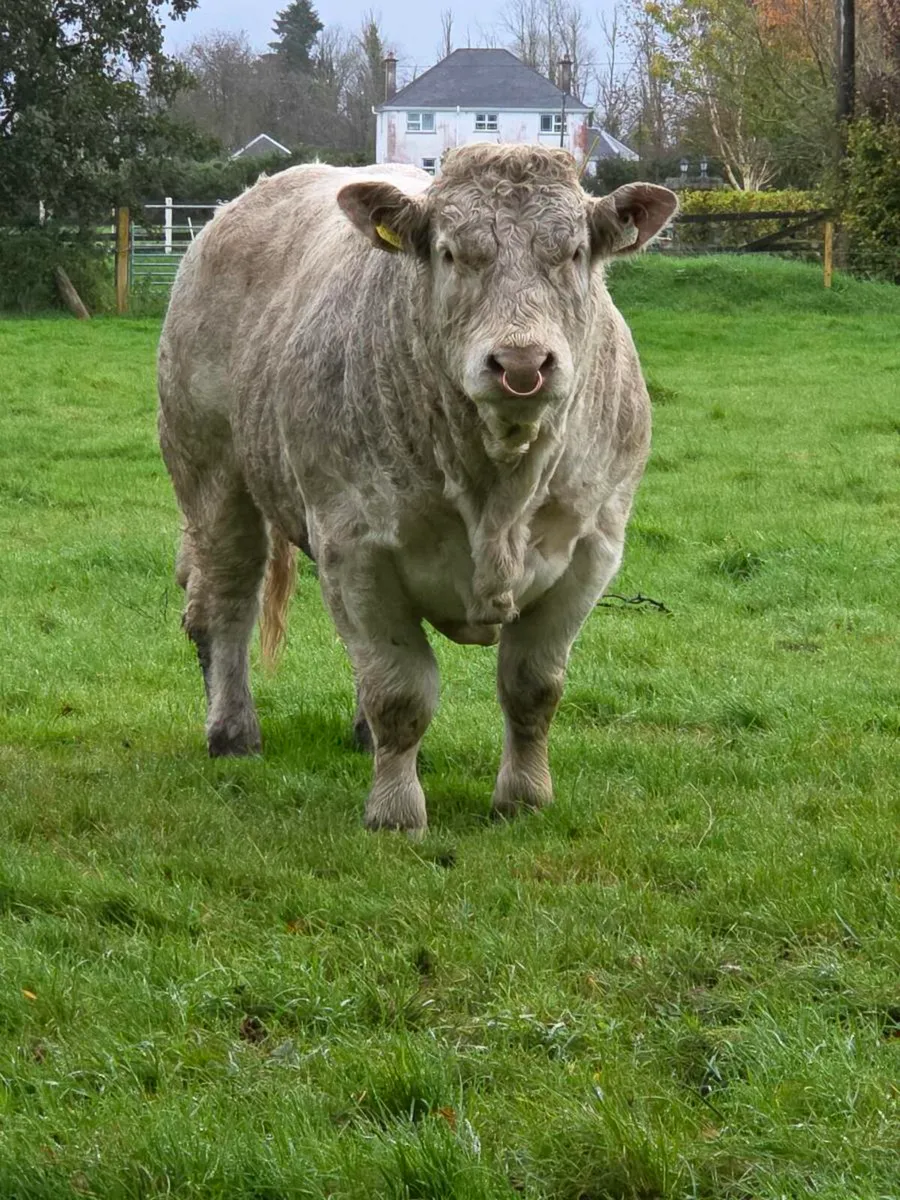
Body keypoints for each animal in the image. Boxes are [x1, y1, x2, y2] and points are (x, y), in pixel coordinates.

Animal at [157, 144, 677, 835]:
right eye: (452, 253)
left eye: (571, 254)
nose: (521, 364)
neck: (498, 490)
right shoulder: (356, 548)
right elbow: (400, 690)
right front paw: (396, 813)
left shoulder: (592, 549)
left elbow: (533, 685)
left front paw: (524, 798)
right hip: (213, 477)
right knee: (224, 606)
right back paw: (233, 733)